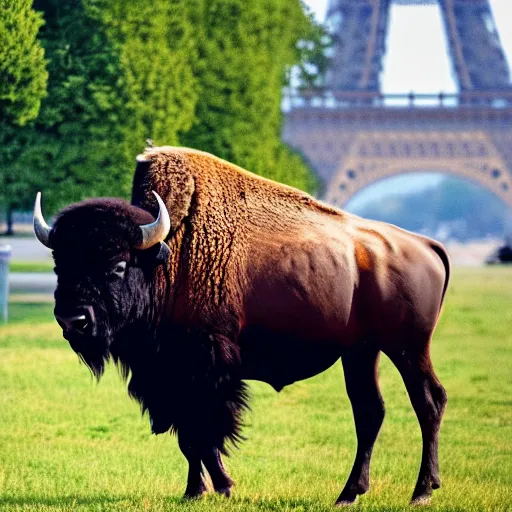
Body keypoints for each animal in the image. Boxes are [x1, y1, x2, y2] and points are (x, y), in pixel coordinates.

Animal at [33, 146, 448, 506]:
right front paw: (193, 492)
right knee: (370, 411)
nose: (73, 319)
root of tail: (425, 245)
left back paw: (421, 492)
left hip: (408, 348)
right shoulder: (170, 377)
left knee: (428, 401)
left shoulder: (208, 371)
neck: (167, 260)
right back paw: (349, 494)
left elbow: (204, 433)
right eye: (59, 264)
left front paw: (224, 486)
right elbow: (188, 437)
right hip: (361, 352)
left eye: (118, 266)